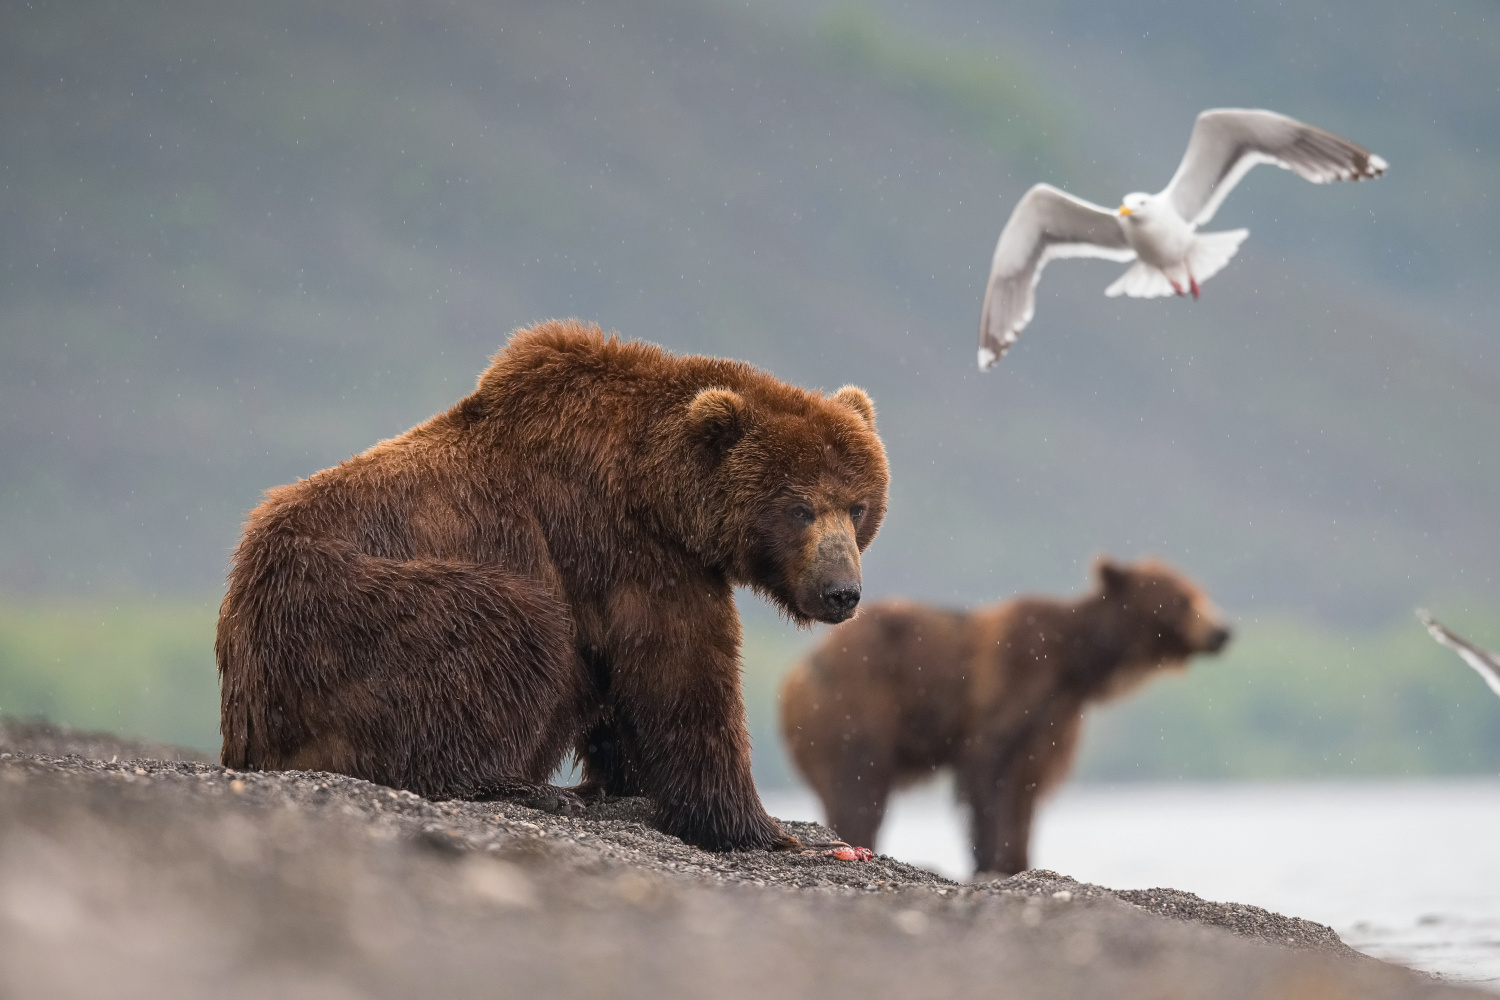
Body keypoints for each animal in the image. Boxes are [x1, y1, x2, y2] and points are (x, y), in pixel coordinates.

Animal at [217, 320, 882, 851]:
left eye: (857, 505)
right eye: (799, 508)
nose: (841, 592)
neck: (656, 485)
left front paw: (621, 782)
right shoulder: (621, 543)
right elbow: (681, 670)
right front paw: (769, 831)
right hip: (342, 610)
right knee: (505, 625)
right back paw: (514, 784)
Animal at [780, 563, 1224, 875]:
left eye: (1199, 592)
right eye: (1183, 597)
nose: (1222, 631)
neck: (1073, 666)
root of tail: (798, 673)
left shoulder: (1052, 721)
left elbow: (1026, 788)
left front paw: (1018, 860)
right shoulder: (1011, 685)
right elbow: (989, 776)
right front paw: (991, 861)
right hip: (856, 711)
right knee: (859, 784)